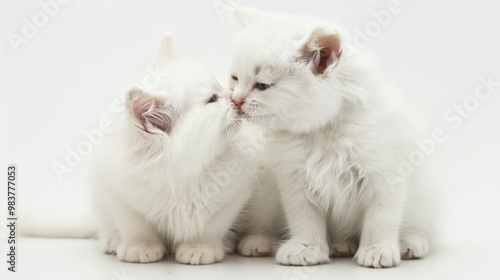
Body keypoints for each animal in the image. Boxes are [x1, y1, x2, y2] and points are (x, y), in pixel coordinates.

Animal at [90, 34, 256, 264]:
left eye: (221, 86)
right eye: (211, 99)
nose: (233, 96)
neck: (183, 173)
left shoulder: (234, 195)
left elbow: (212, 226)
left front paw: (200, 247)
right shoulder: (116, 191)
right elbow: (135, 225)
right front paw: (140, 247)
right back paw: (112, 240)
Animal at [229, 8, 440, 266]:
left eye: (262, 85)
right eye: (235, 79)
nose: (236, 100)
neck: (324, 131)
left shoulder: (385, 174)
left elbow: (382, 217)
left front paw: (378, 249)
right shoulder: (294, 178)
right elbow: (304, 218)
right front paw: (306, 247)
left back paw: (410, 242)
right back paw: (264, 240)